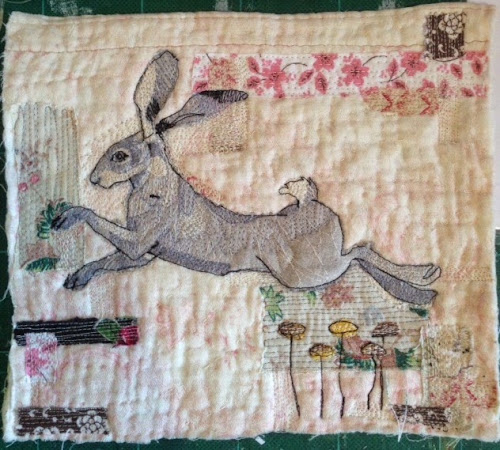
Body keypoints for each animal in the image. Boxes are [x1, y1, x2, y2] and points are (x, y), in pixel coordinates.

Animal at [52, 50, 441, 305]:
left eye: (120, 155)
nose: (94, 180)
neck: (151, 186)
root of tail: (310, 204)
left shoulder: (140, 241)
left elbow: (97, 220)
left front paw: (65, 218)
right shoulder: (143, 255)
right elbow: (107, 260)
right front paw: (75, 279)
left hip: (304, 272)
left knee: (360, 252)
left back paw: (424, 279)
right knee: (360, 253)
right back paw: (423, 288)